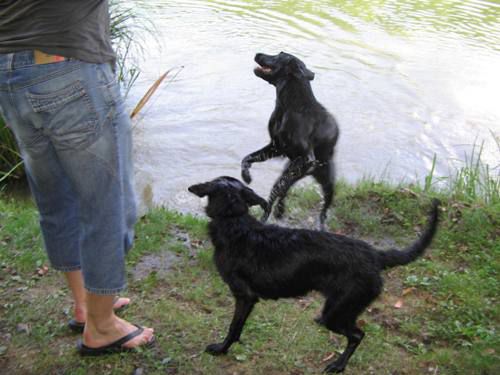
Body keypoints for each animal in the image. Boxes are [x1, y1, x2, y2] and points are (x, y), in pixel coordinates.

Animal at [189, 177, 440, 375]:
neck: (234, 221)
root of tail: (375, 255)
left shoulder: (245, 296)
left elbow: (234, 328)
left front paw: (221, 349)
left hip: (338, 312)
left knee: (357, 335)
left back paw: (338, 365)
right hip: (338, 309)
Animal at [241, 51, 340, 231]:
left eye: (278, 55)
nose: (257, 53)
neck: (288, 106)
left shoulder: (306, 160)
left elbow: (277, 189)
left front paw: (264, 216)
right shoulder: (276, 147)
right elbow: (246, 159)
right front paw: (247, 177)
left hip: (326, 182)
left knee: (323, 211)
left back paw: (321, 226)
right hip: (296, 169)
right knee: (286, 189)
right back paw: (280, 210)